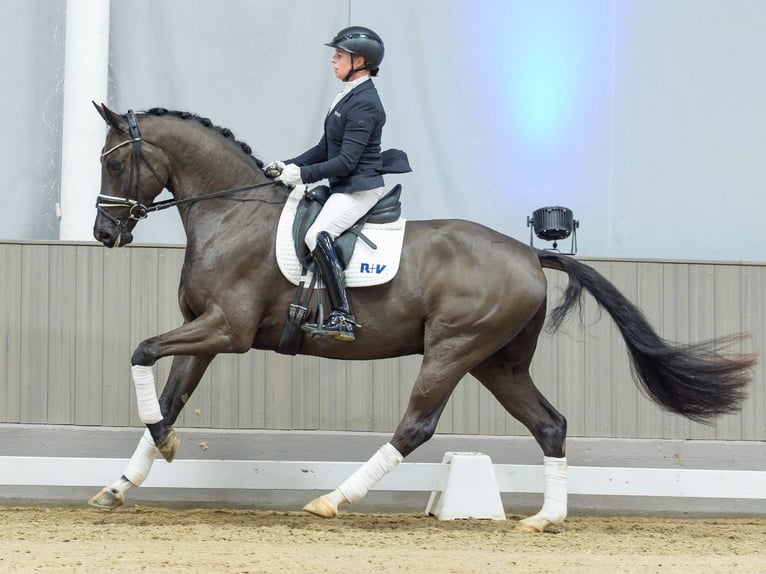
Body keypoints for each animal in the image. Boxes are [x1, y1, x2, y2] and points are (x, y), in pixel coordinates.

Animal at [88, 104, 756, 532]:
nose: (102, 233)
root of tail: (528, 253)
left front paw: (159, 450)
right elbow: (167, 397)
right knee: (550, 424)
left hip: (454, 348)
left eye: (114, 164)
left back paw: (333, 500)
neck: (232, 214)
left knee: (416, 426)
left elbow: (141, 351)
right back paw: (547, 518)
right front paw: (126, 479)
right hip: (498, 362)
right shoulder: (206, 333)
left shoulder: (228, 330)